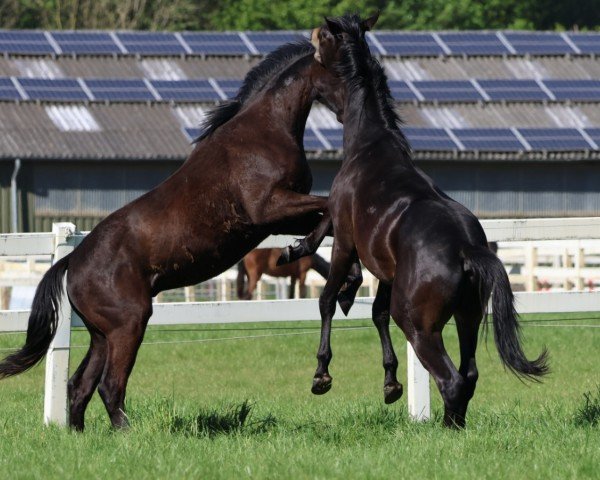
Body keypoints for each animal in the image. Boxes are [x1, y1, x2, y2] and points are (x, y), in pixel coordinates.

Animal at [0, 39, 356, 432]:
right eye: (342, 68)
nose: (354, 112)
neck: (264, 130)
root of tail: (71, 261)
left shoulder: (278, 219)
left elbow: (329, 219)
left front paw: (347, 281)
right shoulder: (270, 209)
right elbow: (329, 208)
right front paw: (305, 255)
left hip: (101, 335)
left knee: (80, 386)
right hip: (129, 325)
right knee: (110, 386)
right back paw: (128, 434)